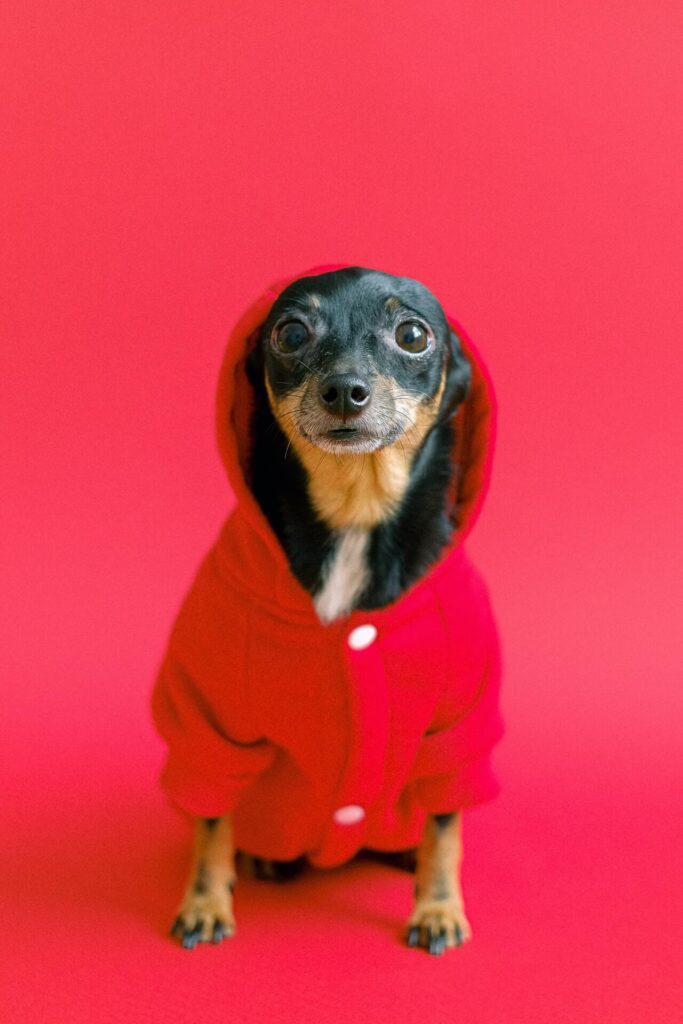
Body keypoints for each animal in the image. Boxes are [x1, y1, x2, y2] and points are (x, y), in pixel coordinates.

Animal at [156, 262, 507, 950]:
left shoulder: (458, 724)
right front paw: (205, 901)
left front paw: (437, 907)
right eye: (291, 333)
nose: (345, 389)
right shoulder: (208, 725)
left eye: (413, 335)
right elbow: (211, 821)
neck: (354, 510)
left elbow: (446, 826)